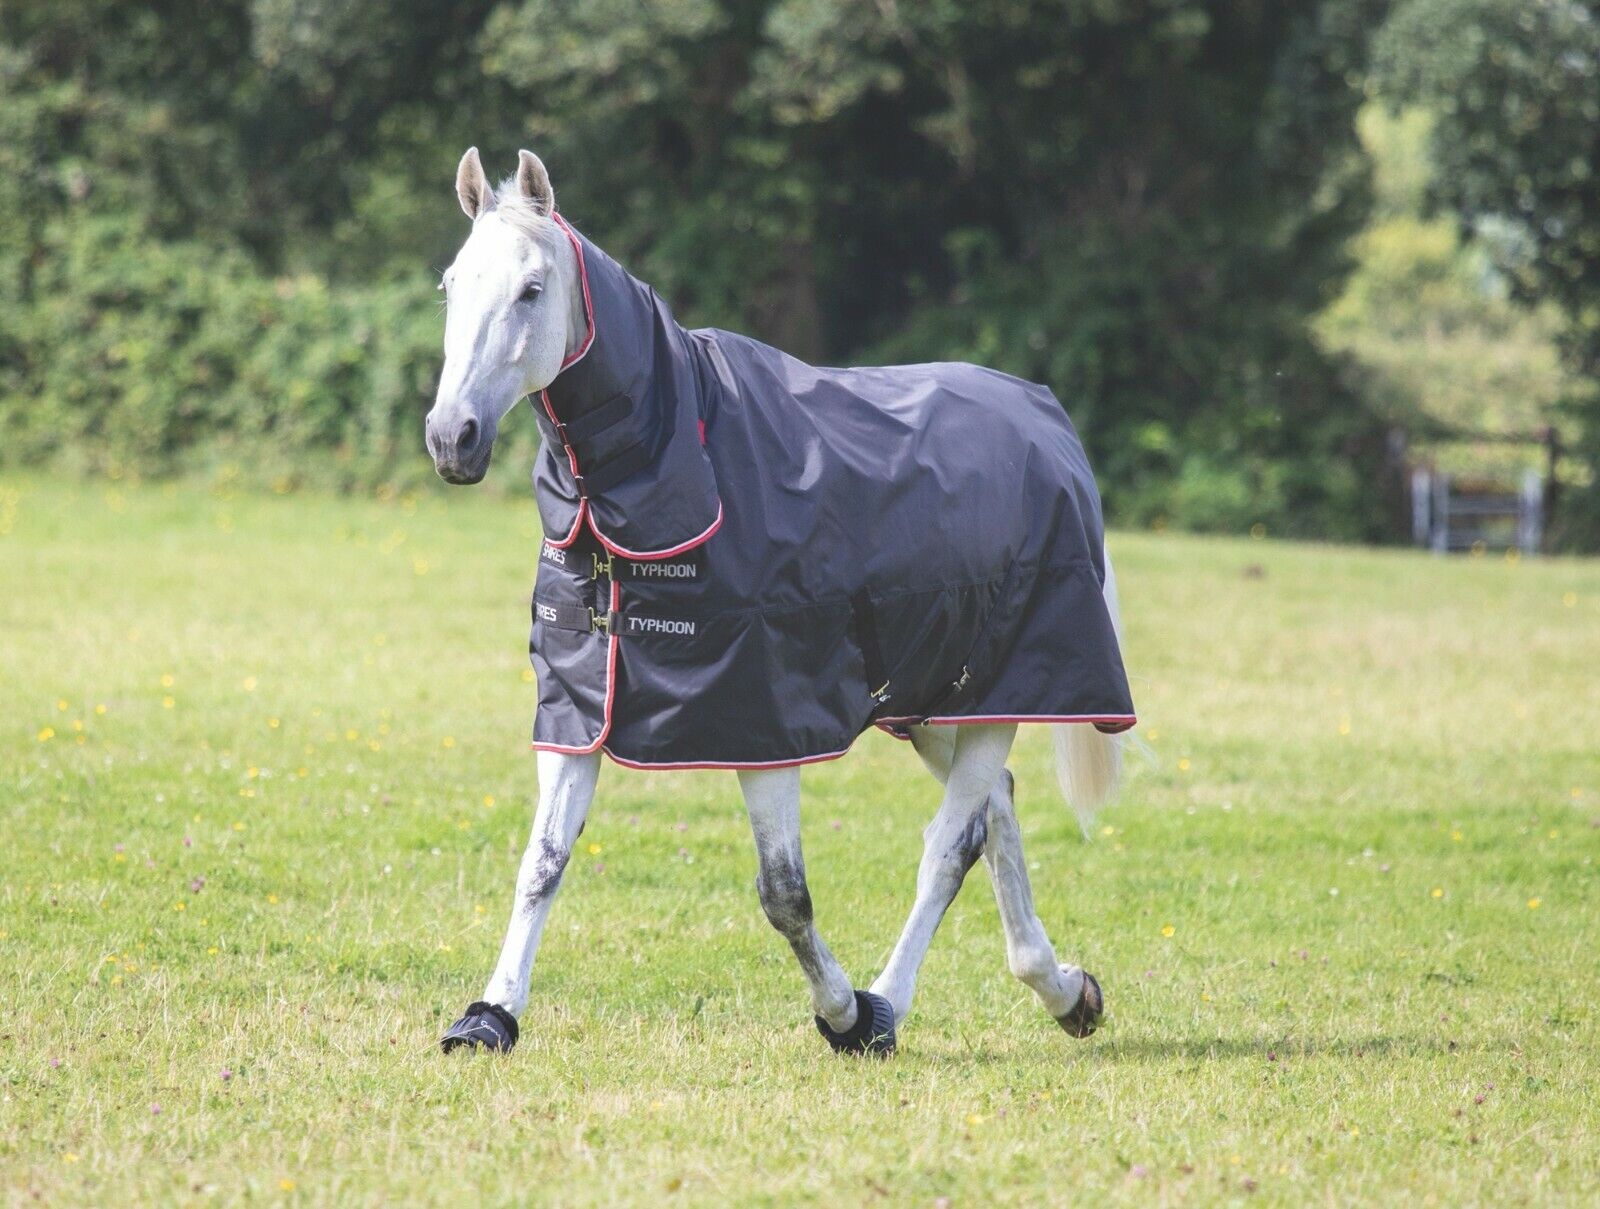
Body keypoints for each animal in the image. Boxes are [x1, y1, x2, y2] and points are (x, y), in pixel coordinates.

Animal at [424, 148, 1136, 1056]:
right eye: (452, 285)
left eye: (532, 289)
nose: (453, 438)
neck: (685, 459)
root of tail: (1051, 429)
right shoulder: (583, 706)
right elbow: (541, 864)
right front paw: (491, 1015)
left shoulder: (761, 721)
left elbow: (783, 893)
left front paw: (843, 1013)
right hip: (936, 703)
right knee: (996, 812)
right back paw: (1065, 990)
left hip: (997, 694)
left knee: (951, 843)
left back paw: (889, 1004)